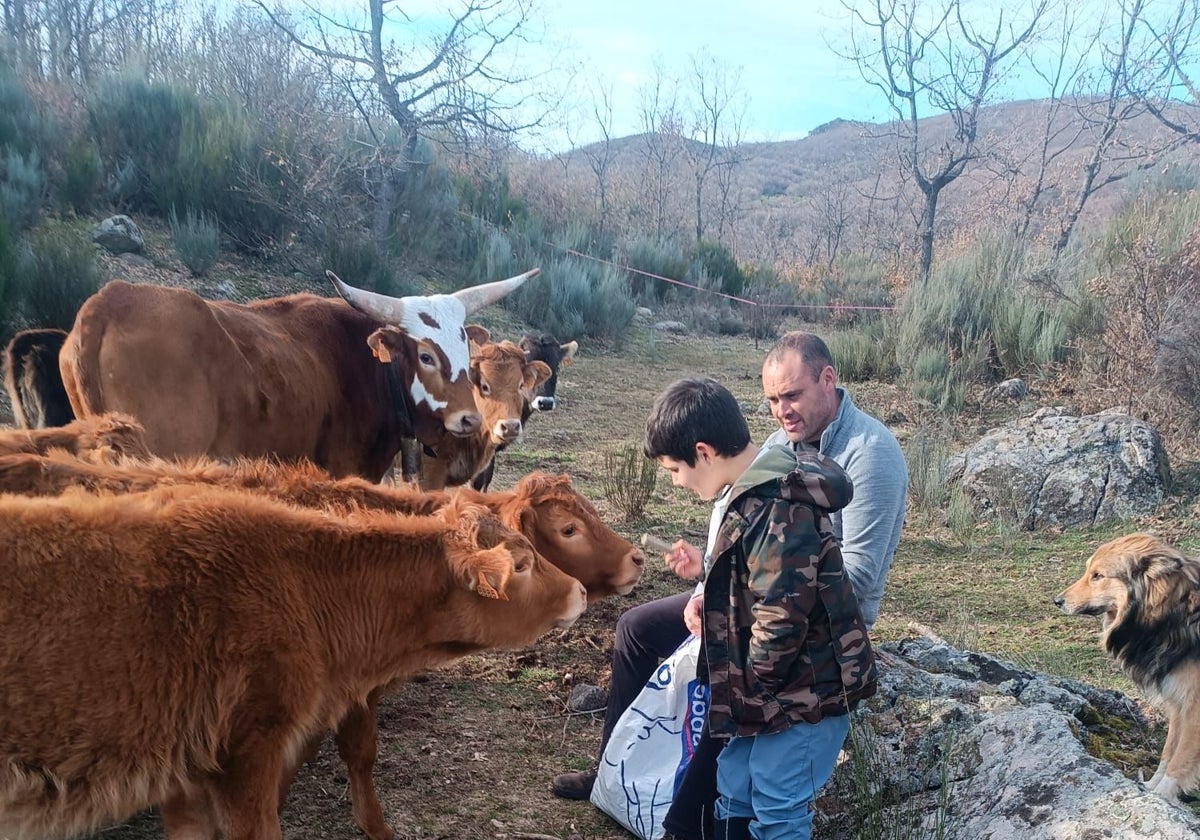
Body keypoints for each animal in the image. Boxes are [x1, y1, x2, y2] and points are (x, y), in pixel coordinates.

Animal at [1056, 535, 1200, 796]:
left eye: (1098, 576)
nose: (1057, 601)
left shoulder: (1194, 706)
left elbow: (1181, 758)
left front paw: (1161, 795)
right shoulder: (1178, 701)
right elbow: (1169, 750)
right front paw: (1150, 787)